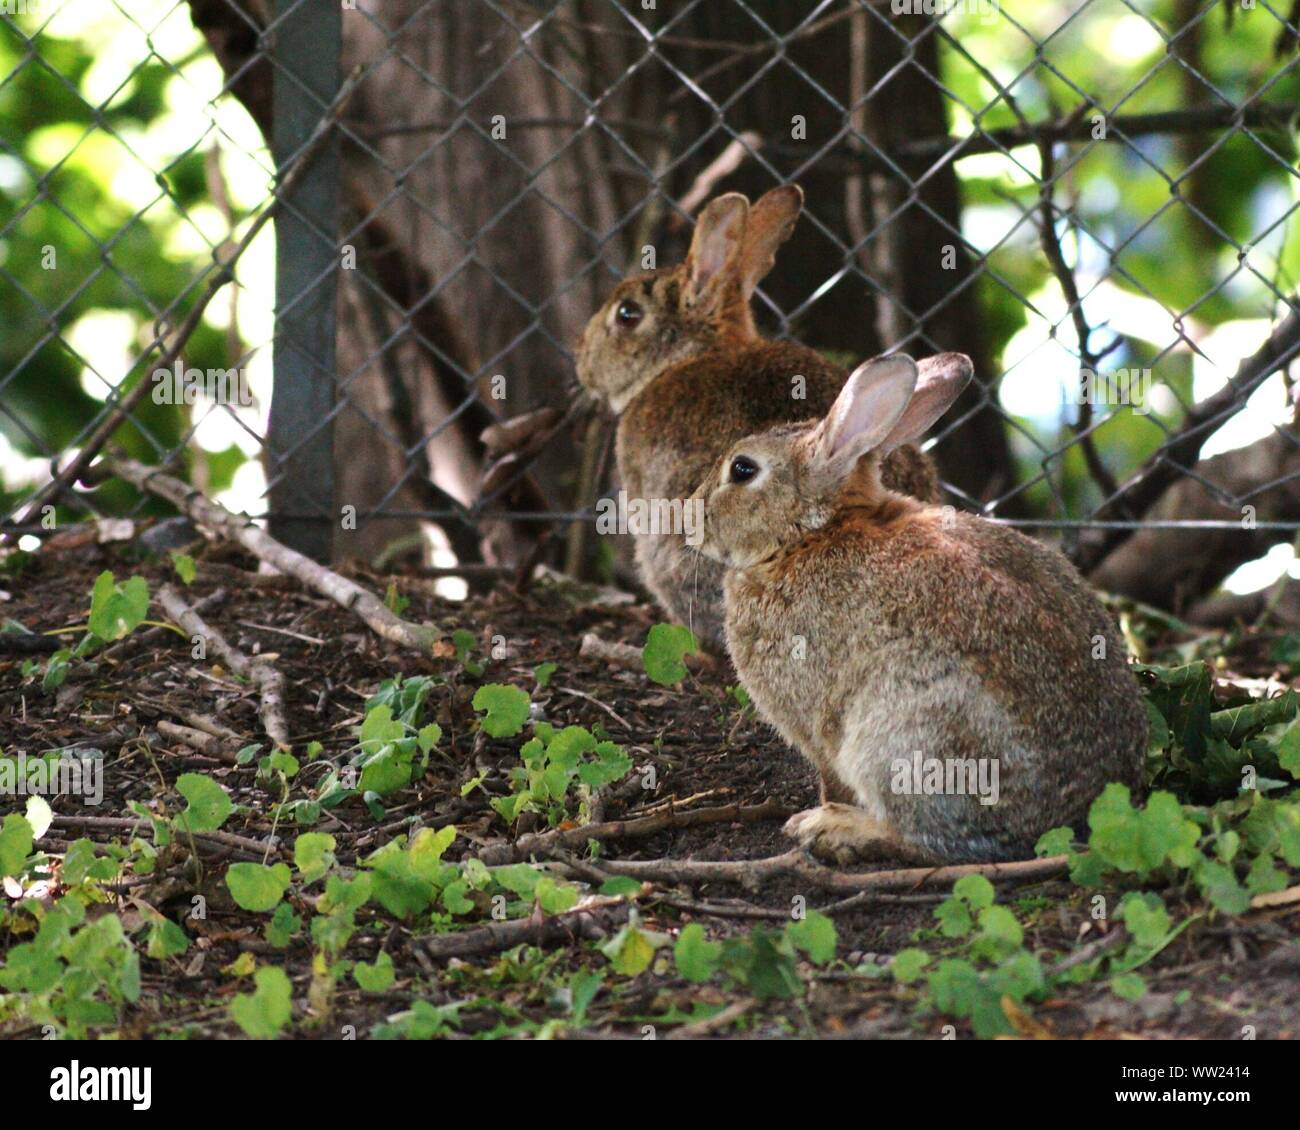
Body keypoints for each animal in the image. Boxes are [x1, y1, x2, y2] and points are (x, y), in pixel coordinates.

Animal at [690, 353, 1147, 865]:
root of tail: (1068, 816)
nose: (690, 518)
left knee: (927, 842)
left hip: (902, 736)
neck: (809, 535)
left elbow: (829, 774)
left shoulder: (813, 721)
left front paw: (821, 812)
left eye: (742, 470)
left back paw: (836, 829)